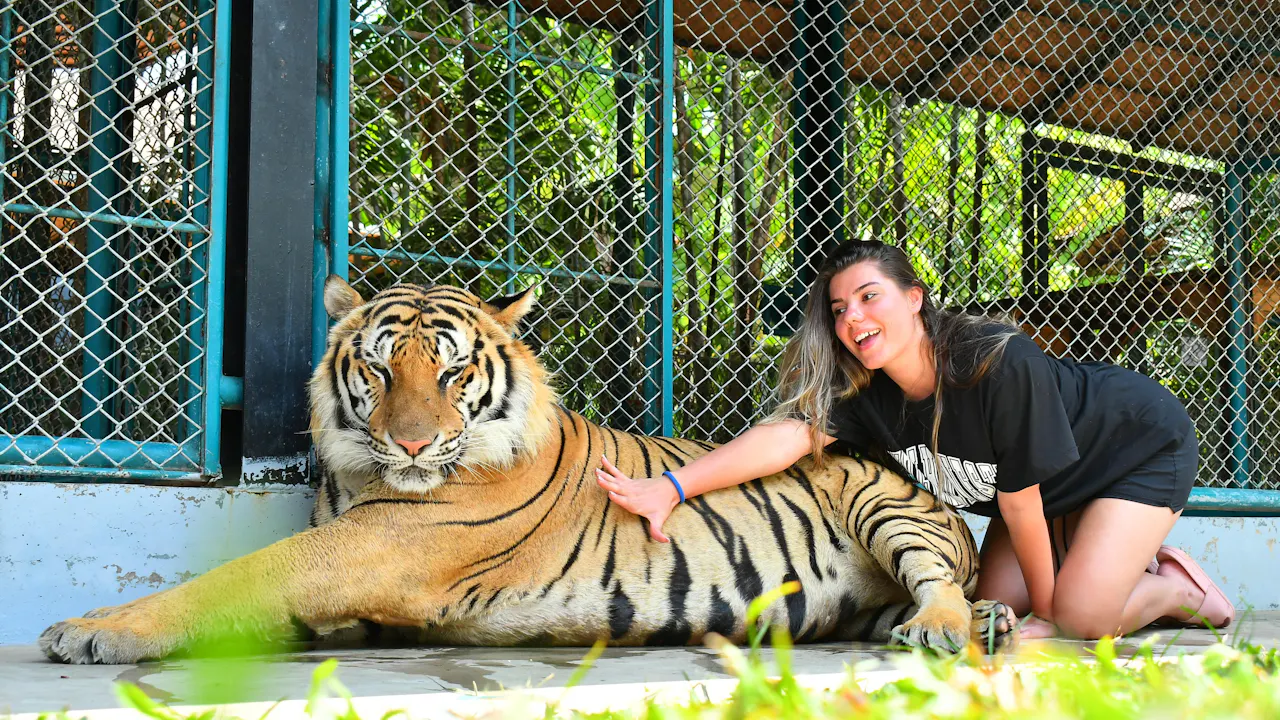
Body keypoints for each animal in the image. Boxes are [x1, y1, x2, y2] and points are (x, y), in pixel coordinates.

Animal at [38, 276, 1018, 664]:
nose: (414, 445)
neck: (360, 477)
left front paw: (91, 629)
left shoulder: (375, 547)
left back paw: (945, 628)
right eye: (380, 370)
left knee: (936, 584)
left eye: (450, 373)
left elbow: (236, 575)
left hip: (888, 509)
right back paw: (993, 620)